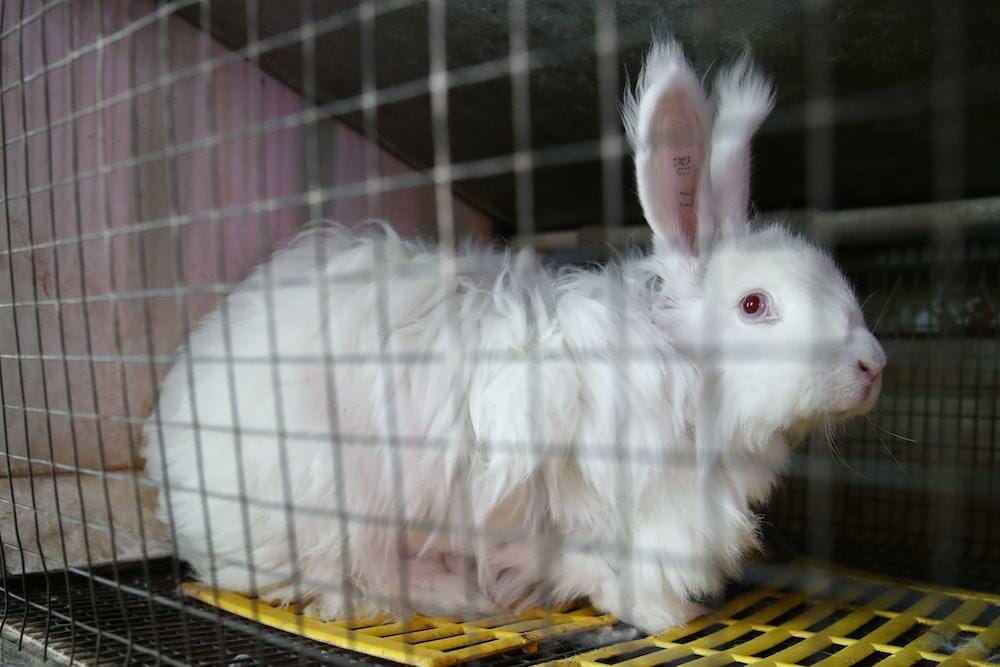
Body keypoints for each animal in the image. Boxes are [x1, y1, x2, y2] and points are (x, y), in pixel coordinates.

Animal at [146, 39, 884, 636]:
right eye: (755, 305)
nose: (873, 364)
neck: (686, 369)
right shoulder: (600, 510)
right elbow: (602, 570)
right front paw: (662, 615)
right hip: (332, 502)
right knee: (345, 577)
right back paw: (456, 592)